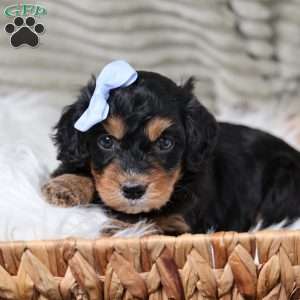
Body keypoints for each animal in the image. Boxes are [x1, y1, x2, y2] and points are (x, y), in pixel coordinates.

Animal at [42, 71, 300, 236]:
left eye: (165, 143)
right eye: (106, 141)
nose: (133, 190)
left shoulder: (179, 226)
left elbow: (150, 227)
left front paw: (122, 228)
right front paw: (63, 187)